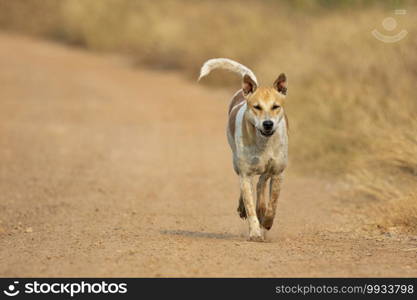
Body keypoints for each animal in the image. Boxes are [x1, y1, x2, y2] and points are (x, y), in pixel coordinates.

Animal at [197, 58, 288, 241]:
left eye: (276, 106)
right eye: (256, 107)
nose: (268, 124)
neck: (263, 142)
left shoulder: (277, 172)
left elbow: (273, 203)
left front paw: (267, 221)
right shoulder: (245, 174)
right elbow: (250, 205)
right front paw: (255, 232)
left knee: (261, 183)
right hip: (236, 162)